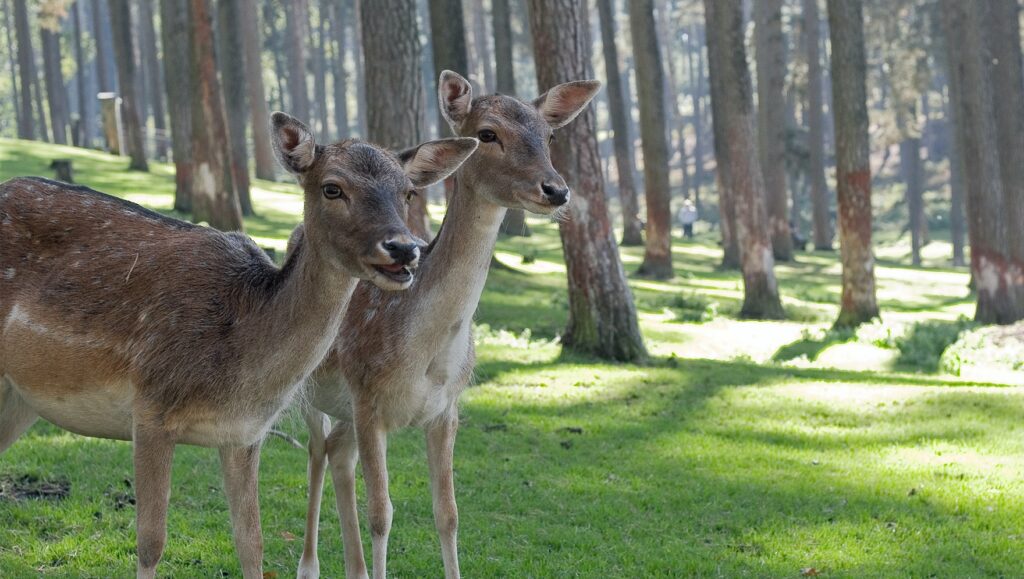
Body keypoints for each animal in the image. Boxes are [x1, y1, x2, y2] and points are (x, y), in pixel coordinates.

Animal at [0, 111, 478, 579]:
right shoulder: (150, 407)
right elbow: (151, 544)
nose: (403, 249)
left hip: (20, 397)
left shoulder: (244, 435)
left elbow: (252, 546)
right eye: (332, 187)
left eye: (408, 192)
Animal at [294, 71, 601, 579]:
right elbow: (382, 513)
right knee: (317, 452)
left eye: (550, 136)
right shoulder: (367, 397)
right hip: (308, 386)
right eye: (487, 134)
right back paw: (309, 565)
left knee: (338, 453)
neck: (426, 355)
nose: (556, 190)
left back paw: (354, 569)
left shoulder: (446, 408)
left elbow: (449, 514)